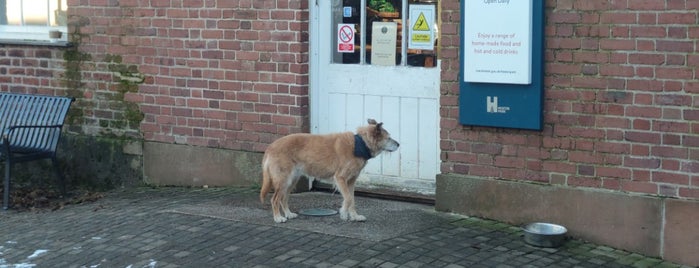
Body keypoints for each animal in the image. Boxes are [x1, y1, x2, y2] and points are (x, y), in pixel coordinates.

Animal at [258, 119, 402, 222]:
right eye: (388, 138)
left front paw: (354, 216)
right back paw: (278, 218)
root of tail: (270, 147)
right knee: (275, 199)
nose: (399, 144)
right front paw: (343, 213)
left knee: (283, 198)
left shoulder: (351, 182)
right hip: (283, 180)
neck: (359, 145)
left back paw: (288, 214)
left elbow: (352, 199)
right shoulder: (340, 178)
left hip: (291, 181)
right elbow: (348, 199)